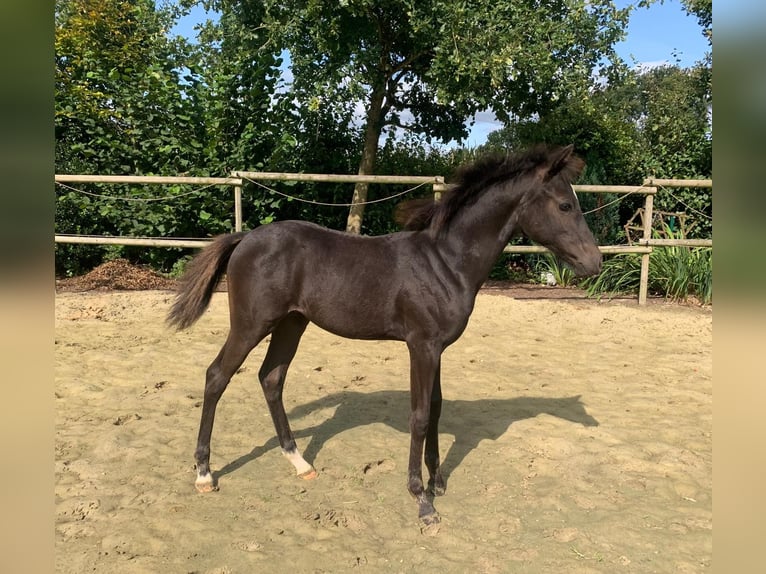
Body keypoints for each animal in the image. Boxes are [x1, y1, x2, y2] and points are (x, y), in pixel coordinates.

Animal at [170, 145, 608, 528]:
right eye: (565, 205)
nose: (595, 263)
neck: (445, 263)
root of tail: (245, 237)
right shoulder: (421, 346)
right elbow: (419, 415)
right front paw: (422, 500)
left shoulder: (438, 348)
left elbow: (436, 407)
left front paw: (438, 482)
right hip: (251, 325)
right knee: (217, 376)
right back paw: (205, 474)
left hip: (292, 323)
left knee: (271, 378)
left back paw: (300, 464)